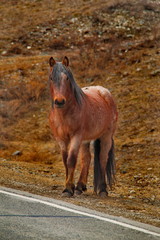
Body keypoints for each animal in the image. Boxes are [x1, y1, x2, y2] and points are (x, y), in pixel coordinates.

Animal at [48, 56, 117, 197]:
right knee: (87, 158)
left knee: (102, 158)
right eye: (51, 78)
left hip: (106, 137)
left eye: (67, 78)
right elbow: (65, 161)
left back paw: (102, 190)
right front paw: (70, 186)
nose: (59, 101)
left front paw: (68, 189)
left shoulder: (76, 137)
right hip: (86, 141)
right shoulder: (61, 139)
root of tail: (104, 92)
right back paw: (80, 187)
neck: (65, 114)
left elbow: (71, 160)